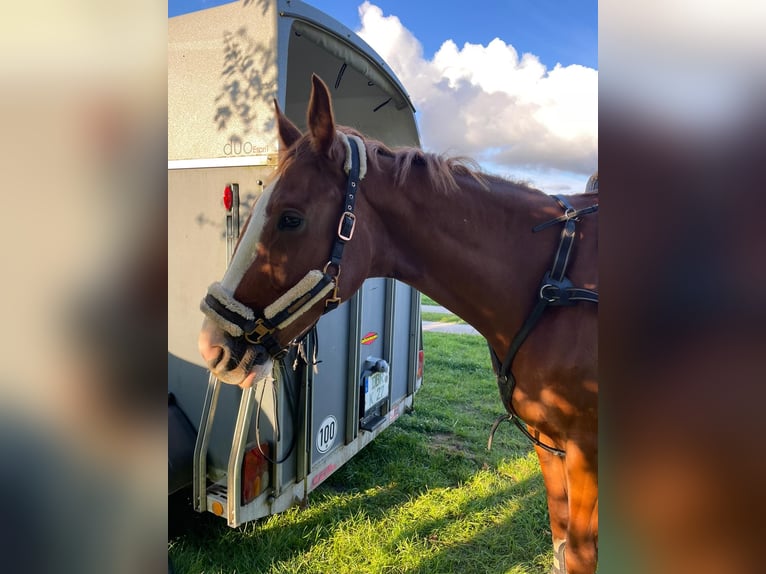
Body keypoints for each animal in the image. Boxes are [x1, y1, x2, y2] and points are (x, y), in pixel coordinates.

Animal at [200, 76, 600, 574]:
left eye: (290, 218)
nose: (212, 345)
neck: (555, 281)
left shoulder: (586, 451)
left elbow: (580, 554)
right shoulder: (549, 443)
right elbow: (562, 546)